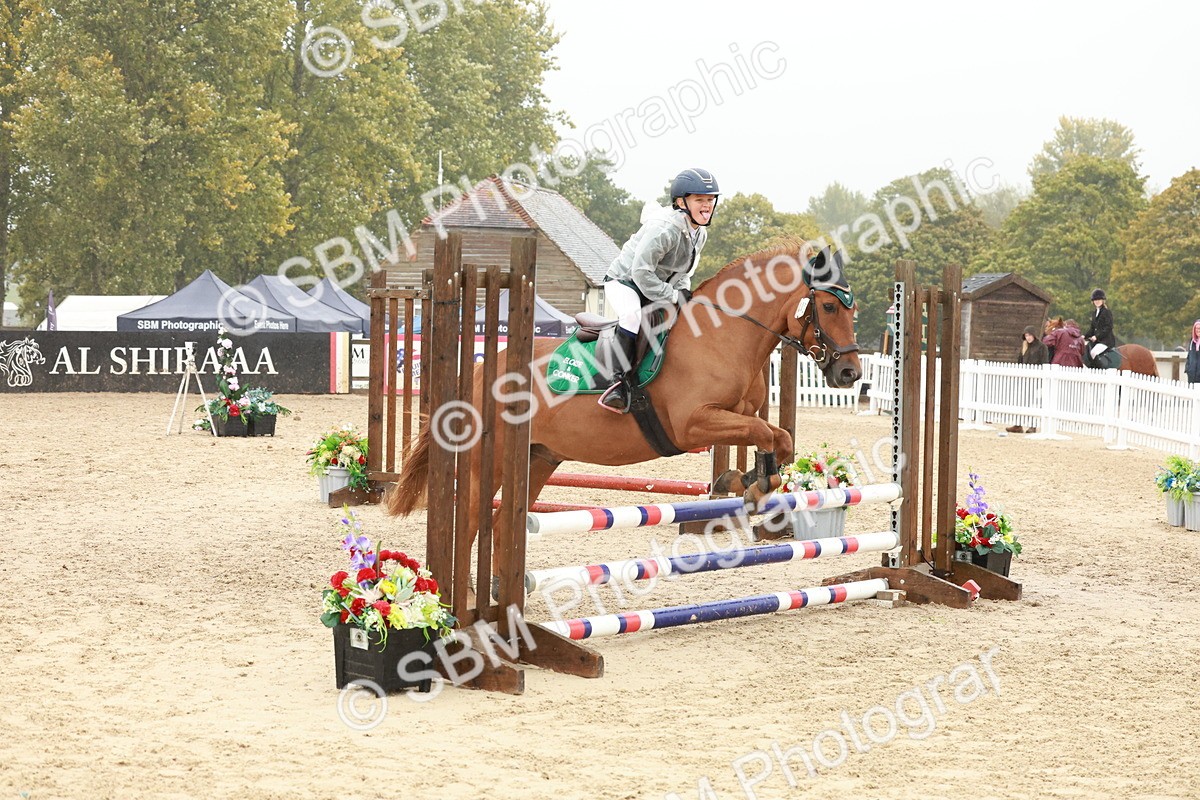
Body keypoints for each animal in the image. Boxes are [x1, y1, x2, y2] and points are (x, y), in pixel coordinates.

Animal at [385, 242, 862, 550]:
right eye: (829, 307)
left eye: (852, 308)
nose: (850, 373)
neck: (725, 332)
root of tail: (483, 368)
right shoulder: (692, 423)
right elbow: (766, 434)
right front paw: (745, 485)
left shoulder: (739, 415)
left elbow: (777, 438)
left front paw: (743, 483)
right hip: (491, 458)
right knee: (468, 523)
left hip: (538, 458)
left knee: (503, 527)